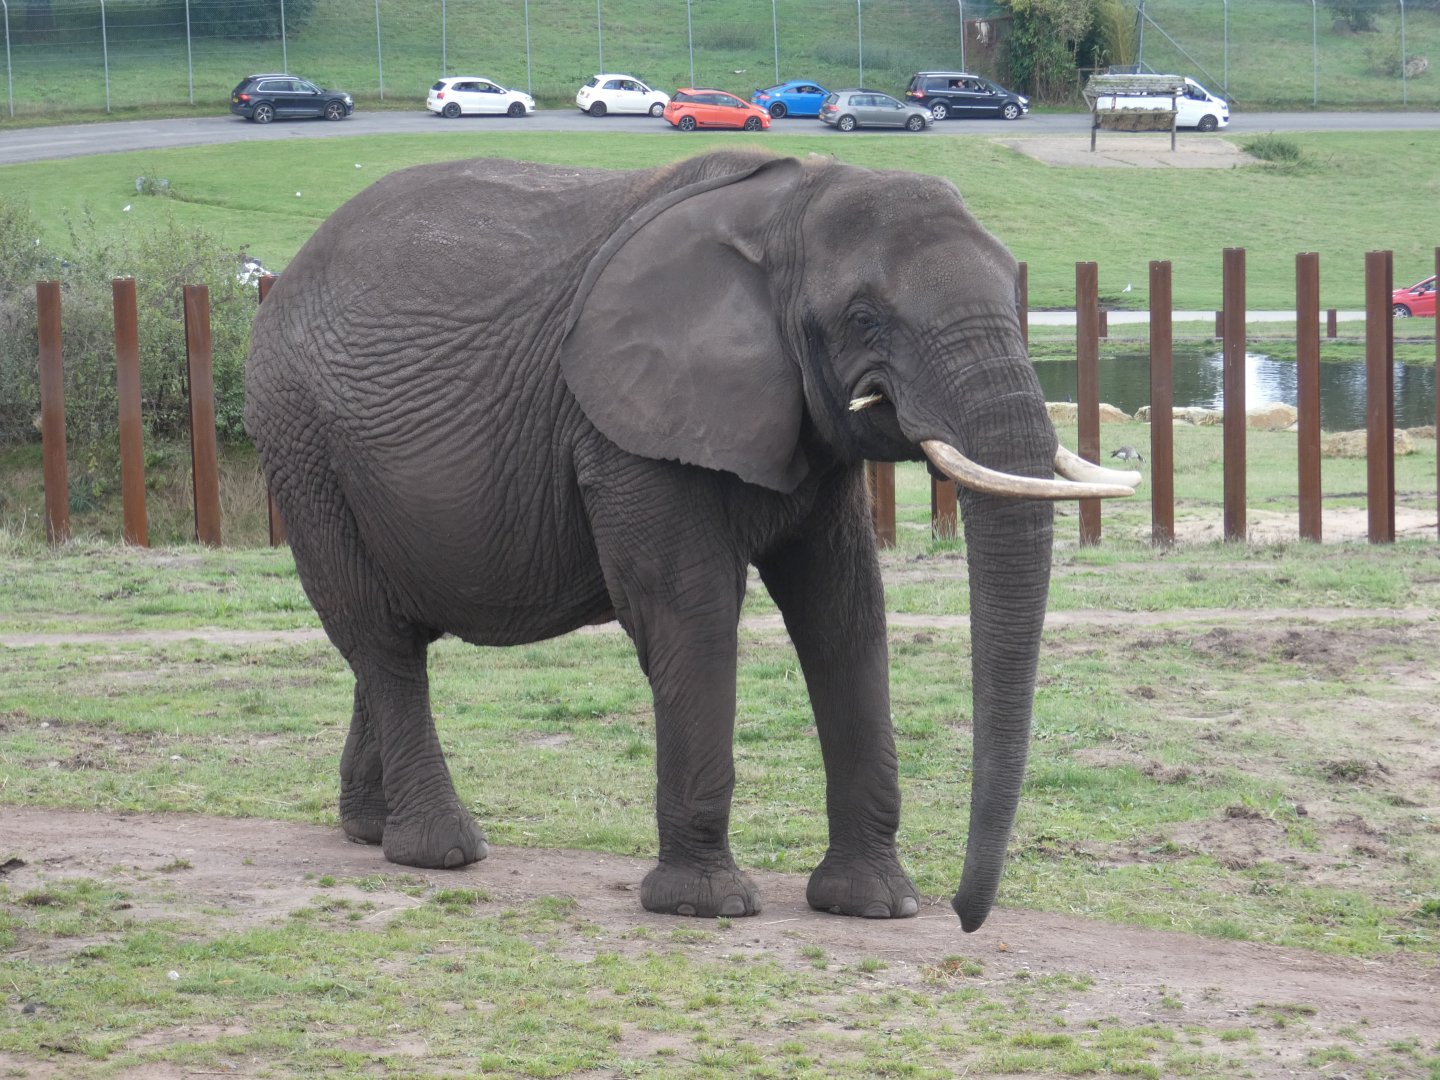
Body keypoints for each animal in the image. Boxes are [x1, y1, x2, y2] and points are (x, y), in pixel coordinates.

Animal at [244, 148, 1137, 931]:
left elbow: (845, 612)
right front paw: (706, 908)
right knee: (381, 638)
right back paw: (442, 851)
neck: (786, 209)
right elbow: (689, 608)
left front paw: (875, 907)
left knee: (390, 638)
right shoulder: (625, 426)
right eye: (863, 318)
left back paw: (370, 830)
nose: (963, 916)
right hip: (304, 445)